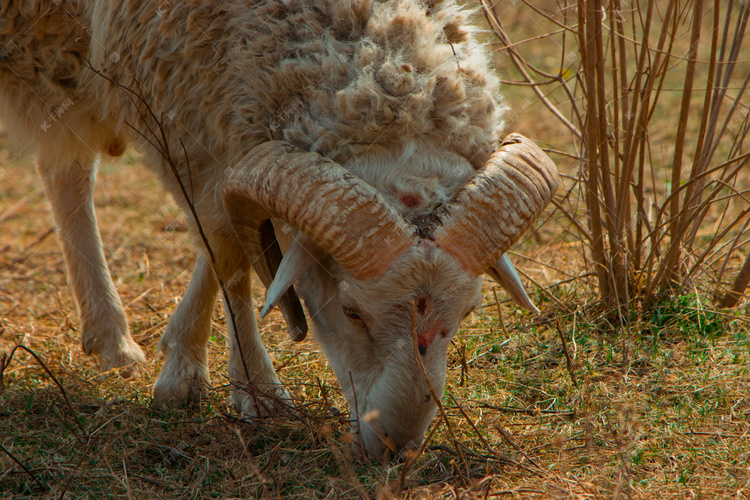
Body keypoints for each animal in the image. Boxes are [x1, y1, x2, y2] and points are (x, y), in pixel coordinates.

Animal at [0, 0, 556, 458]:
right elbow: (225, 248)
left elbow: (226, 238)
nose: (396, 445)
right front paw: (248, 391)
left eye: (468, 311)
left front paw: (190, 364)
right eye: (351, 311)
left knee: (65, 169)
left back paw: (109, 337)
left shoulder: (218, 121)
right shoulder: (182, 110)